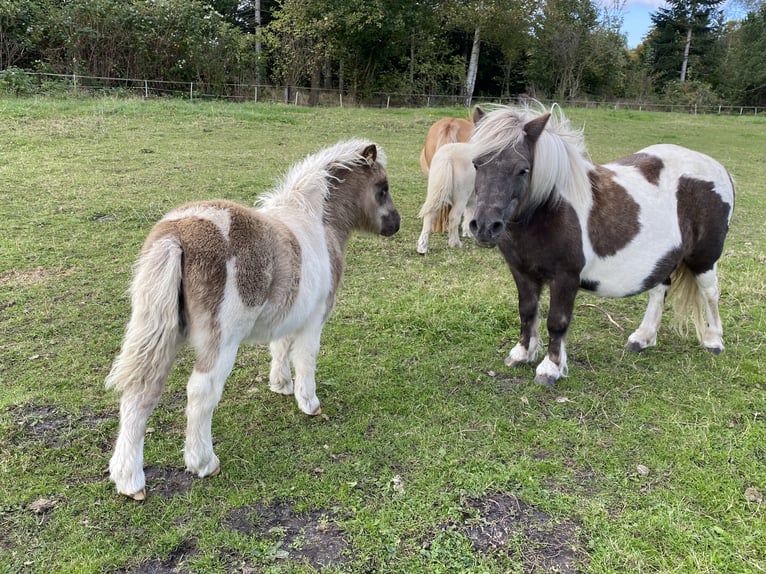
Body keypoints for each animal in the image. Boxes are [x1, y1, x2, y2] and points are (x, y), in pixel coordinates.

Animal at [106, 138, 402, 500]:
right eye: (382, 187)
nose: (396, 224)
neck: (318, 223)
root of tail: (177, 234)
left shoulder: (290, 312)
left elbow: (280, 347)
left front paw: (281, 386)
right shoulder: (315, 317)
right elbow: (306, 358)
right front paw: (309, 402)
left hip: (160, 331)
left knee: (141, 390)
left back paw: (129, 480)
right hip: (221, 340)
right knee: (201, 391)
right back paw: (203, 462)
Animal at [472, 106, 736, 390]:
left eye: (523, 169)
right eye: (476, 163)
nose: (485, 226)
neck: (550, 209)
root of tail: (719, 168)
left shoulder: (565, 277)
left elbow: (557, 322)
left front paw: (550, 368)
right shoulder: (522, 272)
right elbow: (527, 311)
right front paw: (522, 354)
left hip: (704, 258)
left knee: (710, 292)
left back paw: (713, 341)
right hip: (663, 258)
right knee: (659, 291)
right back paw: (642, 338)